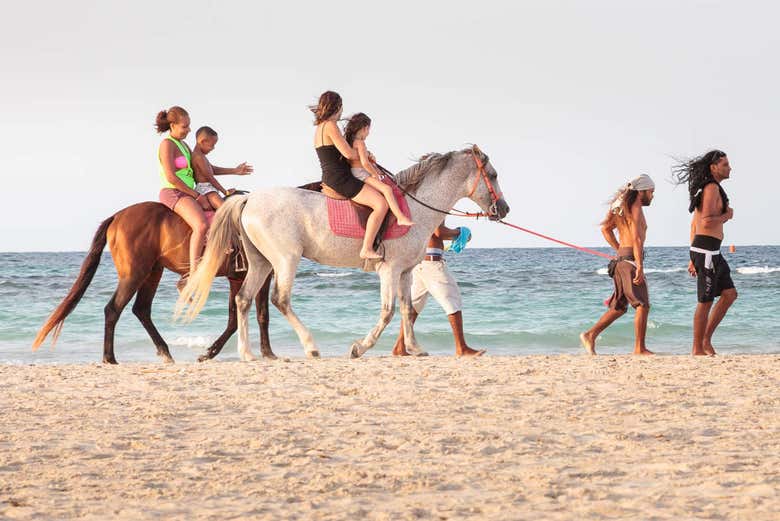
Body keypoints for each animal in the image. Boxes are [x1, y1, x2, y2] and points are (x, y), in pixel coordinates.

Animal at [32, 201, 276, 364]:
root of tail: (117, 216)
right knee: (113, 309)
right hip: (134, 275)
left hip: (152, 273)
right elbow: (259, 315)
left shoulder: (238, 277)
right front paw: (266, 352)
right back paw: (110, 357)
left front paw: (211, 352)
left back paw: (164, 351)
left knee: (141, 309)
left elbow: (237, 318)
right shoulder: (259, 275)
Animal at [174, 144, 508, 360]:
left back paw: (247, 354)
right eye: (492, 174)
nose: (503, 209)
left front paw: (414, 348)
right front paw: (360, 347)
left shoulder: (405, 271)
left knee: (243, 300)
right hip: (285, 259)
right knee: (279, 299)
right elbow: (388, 311)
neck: (413, 208)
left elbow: (406, 309)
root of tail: (249, 199)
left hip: (262, 262)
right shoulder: (389, 270)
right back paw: (310, 346)